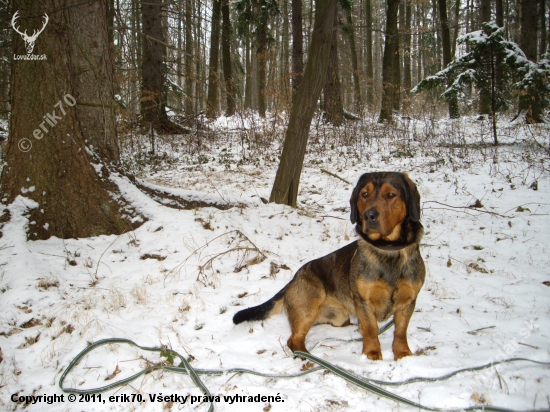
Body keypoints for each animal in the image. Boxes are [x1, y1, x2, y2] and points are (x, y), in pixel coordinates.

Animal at [233, 171, 426, 360]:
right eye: (364, 194)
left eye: (391, 195)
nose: (369, 216)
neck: (387, 250)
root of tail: (291, 282)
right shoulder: (363, 301)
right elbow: (372, 329)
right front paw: (372, 353)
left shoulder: (408, 302)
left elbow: (400, 331)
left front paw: (403, 354)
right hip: (308, 309)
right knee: (293, 339)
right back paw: (306, 356)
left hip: (337, 316)